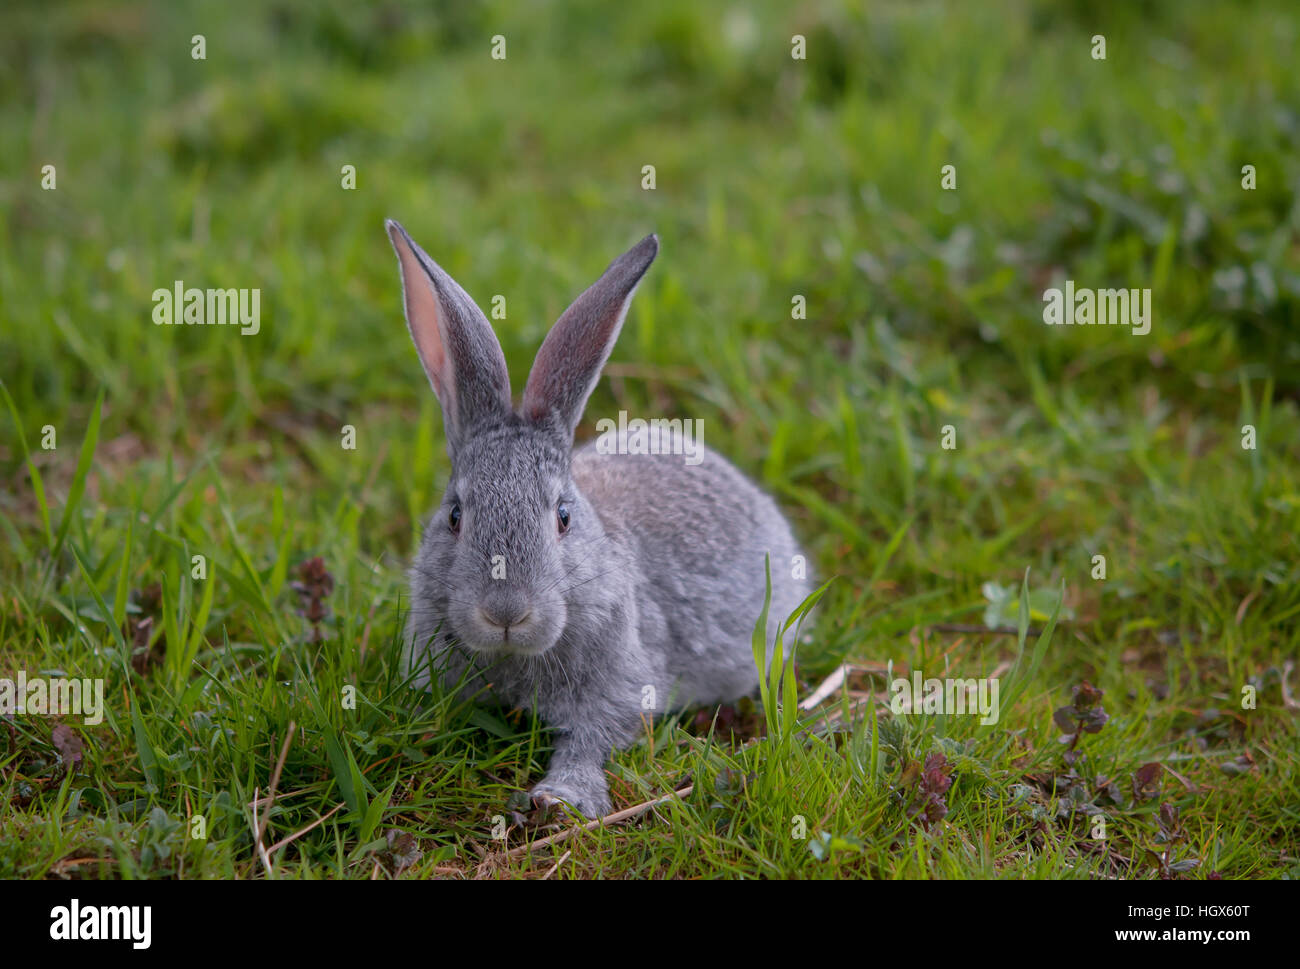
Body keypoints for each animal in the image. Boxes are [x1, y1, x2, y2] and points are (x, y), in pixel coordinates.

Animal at [386, 219, 811, 817]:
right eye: (454, 516)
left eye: (563, 516)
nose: (505, 612)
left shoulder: (621, 685)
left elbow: (592, 739)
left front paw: (560, 798)